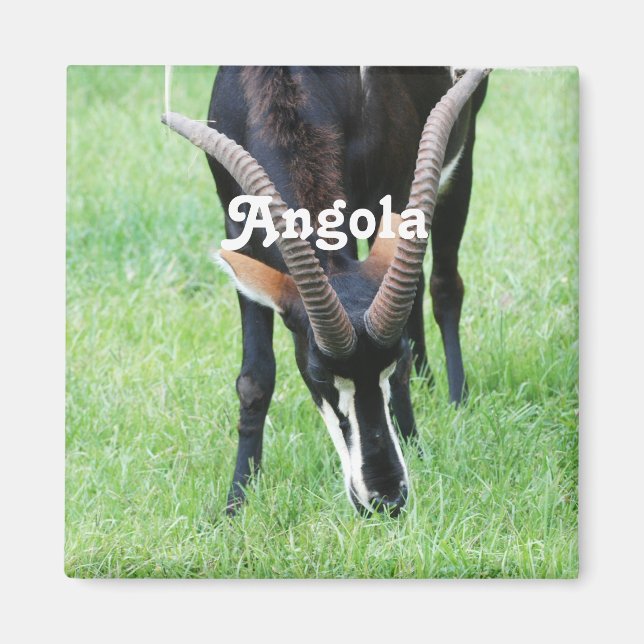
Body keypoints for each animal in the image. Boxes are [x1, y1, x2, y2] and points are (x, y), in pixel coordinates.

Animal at [162, 66, 489, 516]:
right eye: (317, 371)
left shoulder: (391, 194)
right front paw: (237, 500)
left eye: (391, 360)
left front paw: (416, 447)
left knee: (444, 286)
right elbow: (255, 377)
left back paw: (457, 399)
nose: (385, 498)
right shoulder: (237, 226)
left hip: (464, 151)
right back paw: (429, 379)